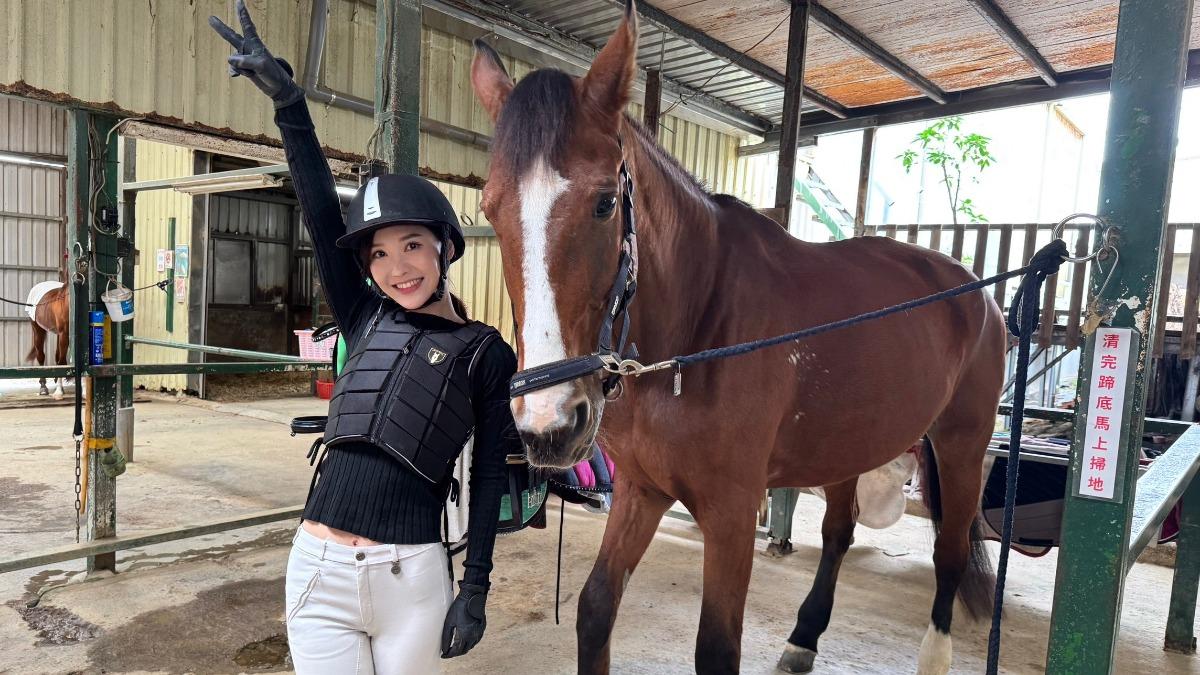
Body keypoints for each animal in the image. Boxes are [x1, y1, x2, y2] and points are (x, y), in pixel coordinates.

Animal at [25, 269, 71, 400]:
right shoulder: (64, 334)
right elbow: (62, 363)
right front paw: (59, 392)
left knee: (57, 356)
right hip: (38, 329)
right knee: (41, 356)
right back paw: (43, 387)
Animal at [470, 2, 1005, 672]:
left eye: (604, 204)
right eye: (490, 209)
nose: (549, 424)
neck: (698, 330)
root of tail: (975, 289)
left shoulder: (730, 514)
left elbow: (716, 647)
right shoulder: (641, 490)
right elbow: (595, 610)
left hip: (962, 445)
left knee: (949, 553)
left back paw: (933, 654)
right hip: (849, 444)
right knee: (838, 532)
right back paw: (803, 637)